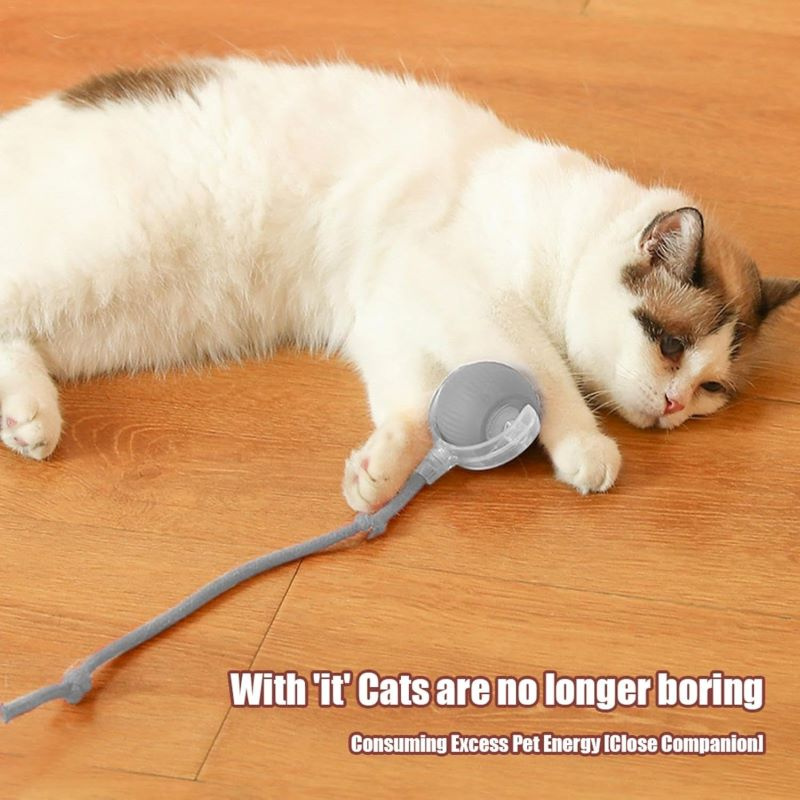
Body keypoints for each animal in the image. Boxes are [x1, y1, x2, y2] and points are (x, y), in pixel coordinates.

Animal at [0, 57, 797, 512]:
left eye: (712, 390)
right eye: (668, 344)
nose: (675, 407)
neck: (563, 227)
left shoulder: (391, 316)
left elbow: (412, 404)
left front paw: (379, 472)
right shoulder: (473, 297)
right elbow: (544, 374)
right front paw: (585, 447)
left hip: (110, 319)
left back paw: (29, 419)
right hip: (102, 256)